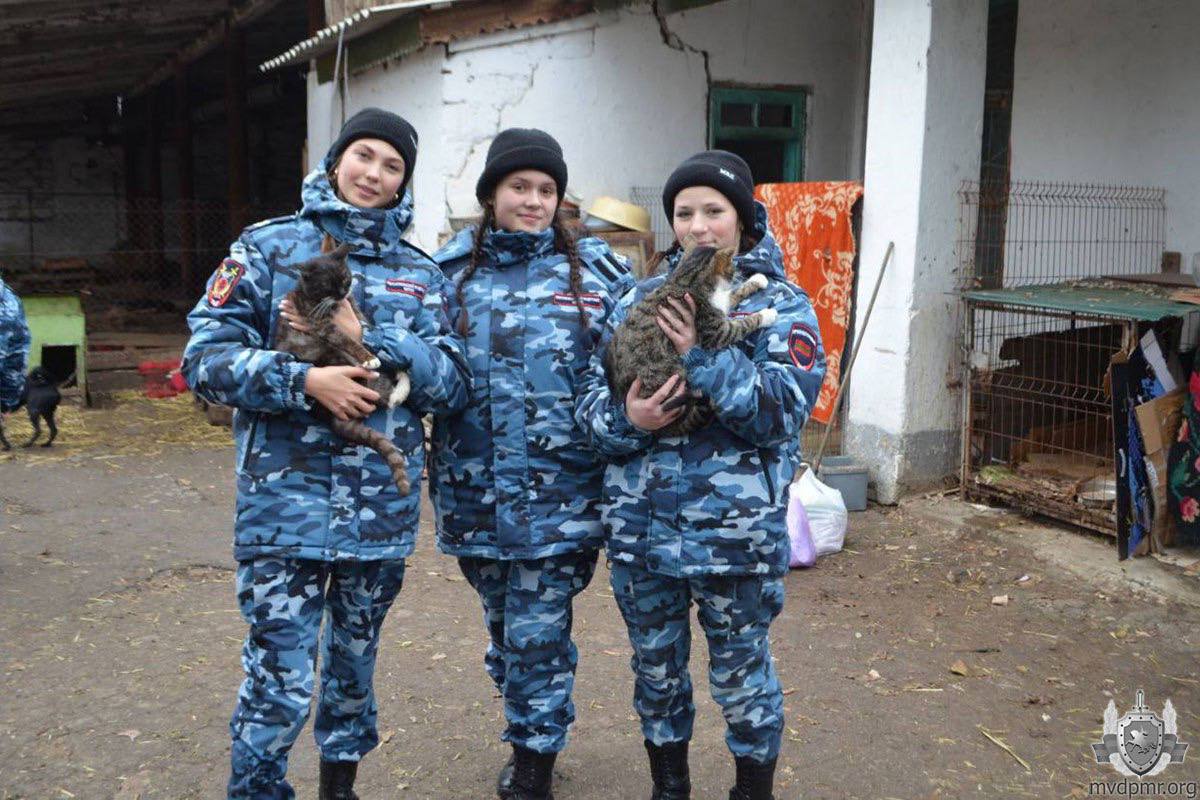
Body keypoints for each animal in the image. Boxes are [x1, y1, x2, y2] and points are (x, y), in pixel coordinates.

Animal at [273, 243, 413, 494]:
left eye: (346, 279)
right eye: (327, 285)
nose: (342, 292)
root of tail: (331, 418)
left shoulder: (355, 311)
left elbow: (364, 326)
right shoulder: (320, 323)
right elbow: (348, 340)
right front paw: (369, 358)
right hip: (332, 358)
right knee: (381, 396)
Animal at [604, 241, 776, 438]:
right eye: (732, 263)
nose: (738, 269)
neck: (685, 279)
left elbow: (732, 294)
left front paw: (757, 280)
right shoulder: (715, 331)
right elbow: (743, 323)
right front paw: (767, 315)